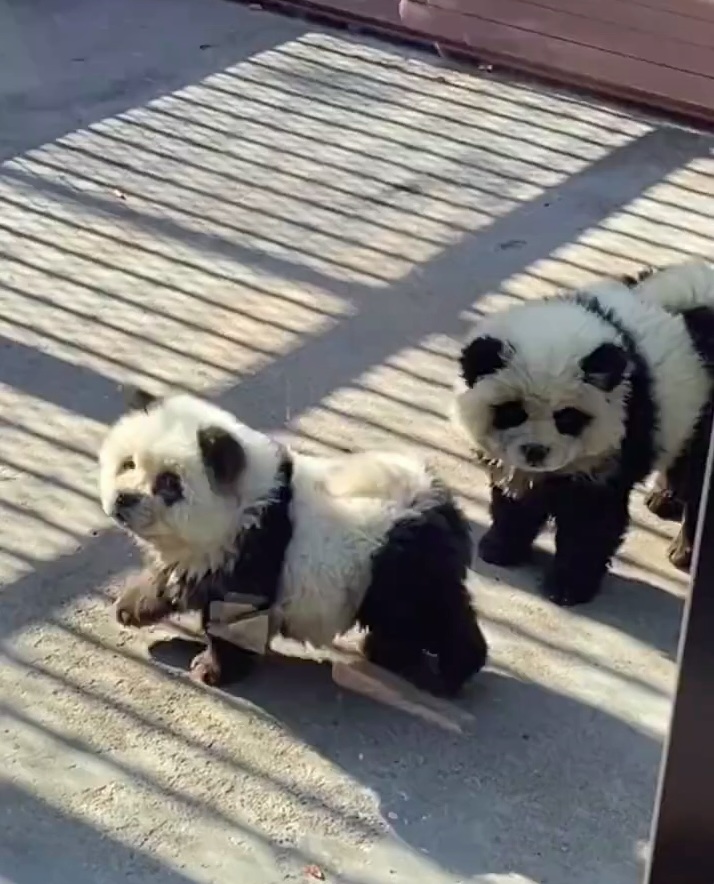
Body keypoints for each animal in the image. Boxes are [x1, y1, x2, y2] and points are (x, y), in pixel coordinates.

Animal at [100, 390, 486, 696]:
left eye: (169, 483)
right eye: (127, 463)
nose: (123, 499)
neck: (248, 501)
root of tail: (442, 503)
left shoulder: (254, 547)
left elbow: (235, 616)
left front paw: (213, 669)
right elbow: (176, 575)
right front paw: (132, 606)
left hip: (400, 562)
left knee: (430, 614)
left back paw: (452, 671)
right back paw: (390, 652)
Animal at [454, 258, 712, 608]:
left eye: (567, 418)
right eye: (512, 411)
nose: (536, 452)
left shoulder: (616, 445)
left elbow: (590, 522)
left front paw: (567, 586)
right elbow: (516, 498)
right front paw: (500, 547)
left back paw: (684, 549)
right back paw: (664, 498)